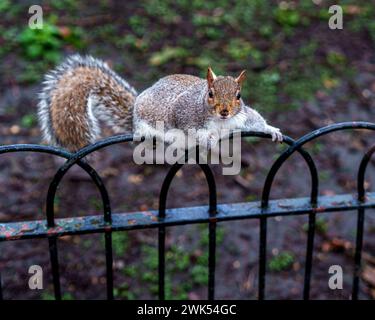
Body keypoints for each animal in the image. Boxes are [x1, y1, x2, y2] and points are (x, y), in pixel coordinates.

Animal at [39, 54, 284, 152]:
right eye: (210, 94)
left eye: (239, 96)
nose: (225, 111)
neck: (220, 122)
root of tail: (134, 113)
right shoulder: (185, 113)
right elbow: (191, 128)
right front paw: (209, 139)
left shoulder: (240, 117)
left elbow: (254, 121)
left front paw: (272, 130)